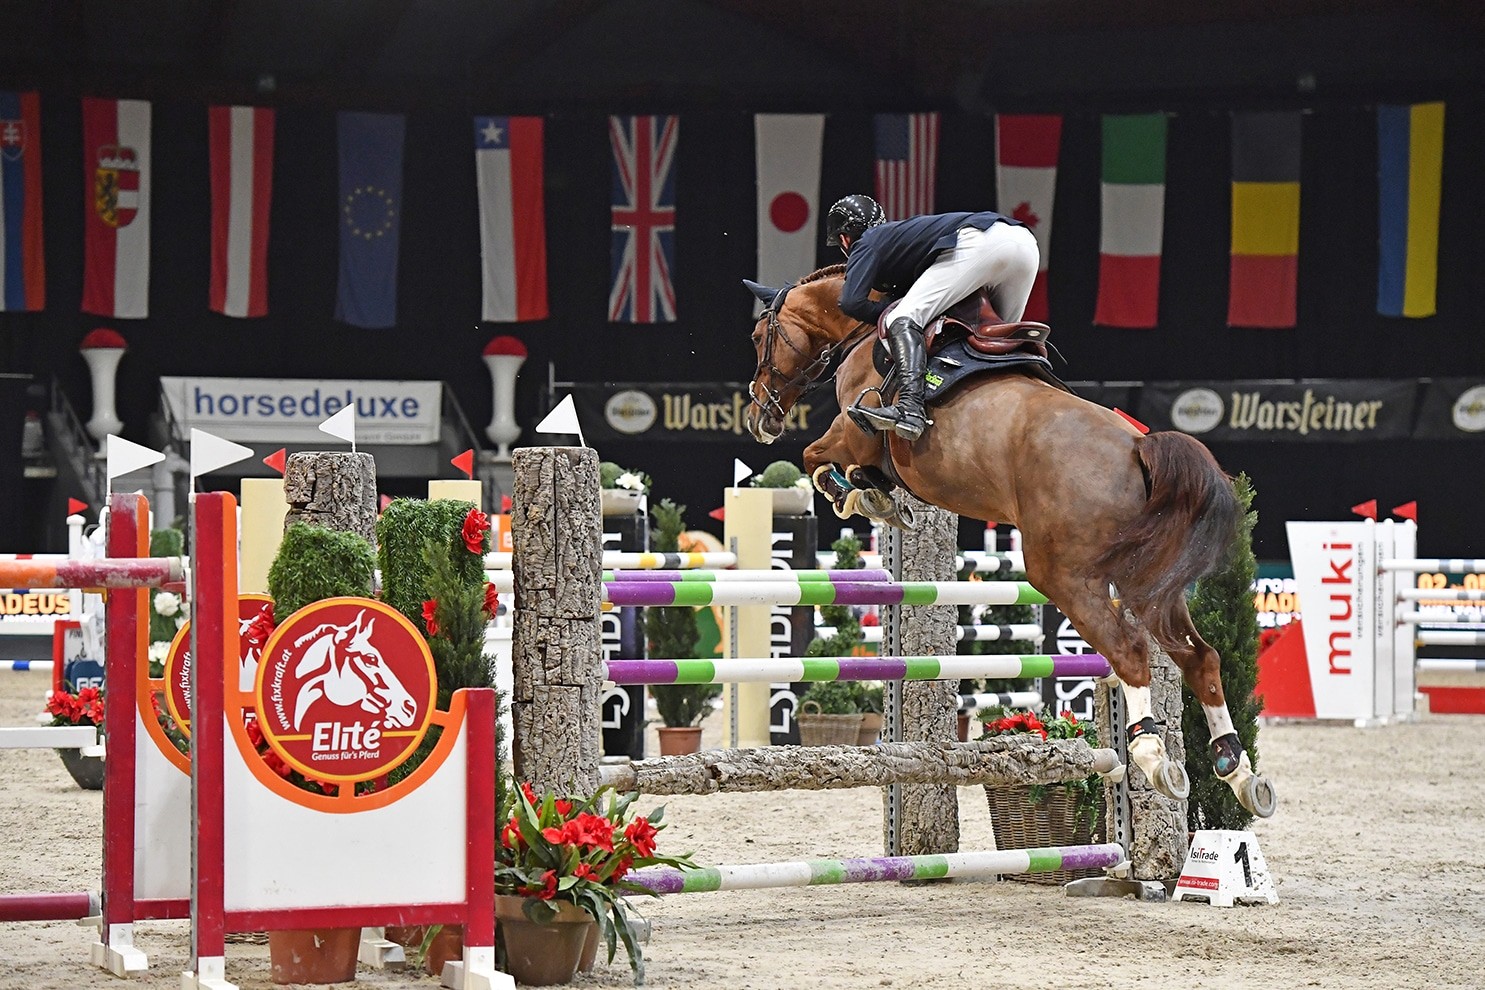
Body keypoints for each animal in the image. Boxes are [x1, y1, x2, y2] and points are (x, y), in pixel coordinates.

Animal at [742, 265, 1277, 819]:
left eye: (759, 337)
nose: (760, 417)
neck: (868, 332)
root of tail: (1138, 446)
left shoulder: (852, 433)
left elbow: (814, 456)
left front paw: (860, 496)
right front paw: (876, 497)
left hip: (1064, 576)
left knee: (1130, 651)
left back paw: (1153, 756)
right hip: (1146, 582)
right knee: (1200, 657)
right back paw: (1238, 770)